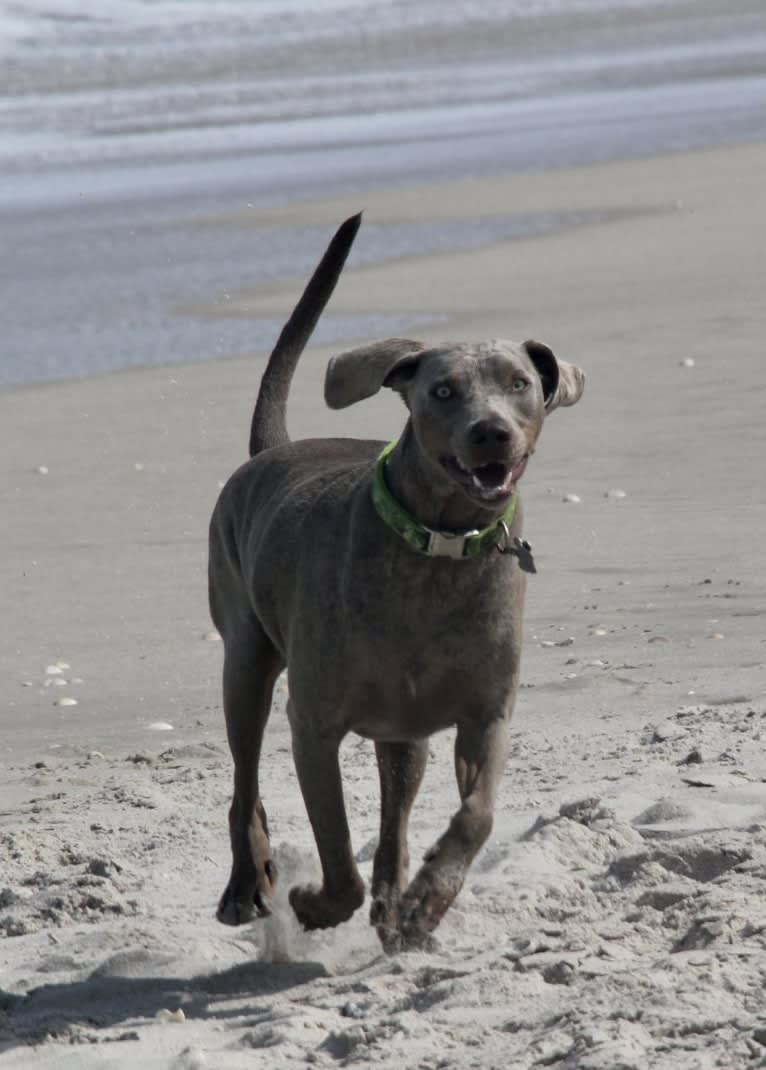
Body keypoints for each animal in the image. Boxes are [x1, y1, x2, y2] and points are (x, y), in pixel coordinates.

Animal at [206, 212, 581, 950]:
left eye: (519, 383)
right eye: (442, 391)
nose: (490, 432)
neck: (439, 549)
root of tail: (271, 451)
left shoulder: (485, 714)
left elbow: (476, 815)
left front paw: (427, 901)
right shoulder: (312, 724)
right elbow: (333, 845)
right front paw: (318, 903)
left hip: (403, 734)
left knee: (392, 823)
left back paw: (396, 909)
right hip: (245, 659)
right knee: (244, 784)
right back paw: (245, 886)